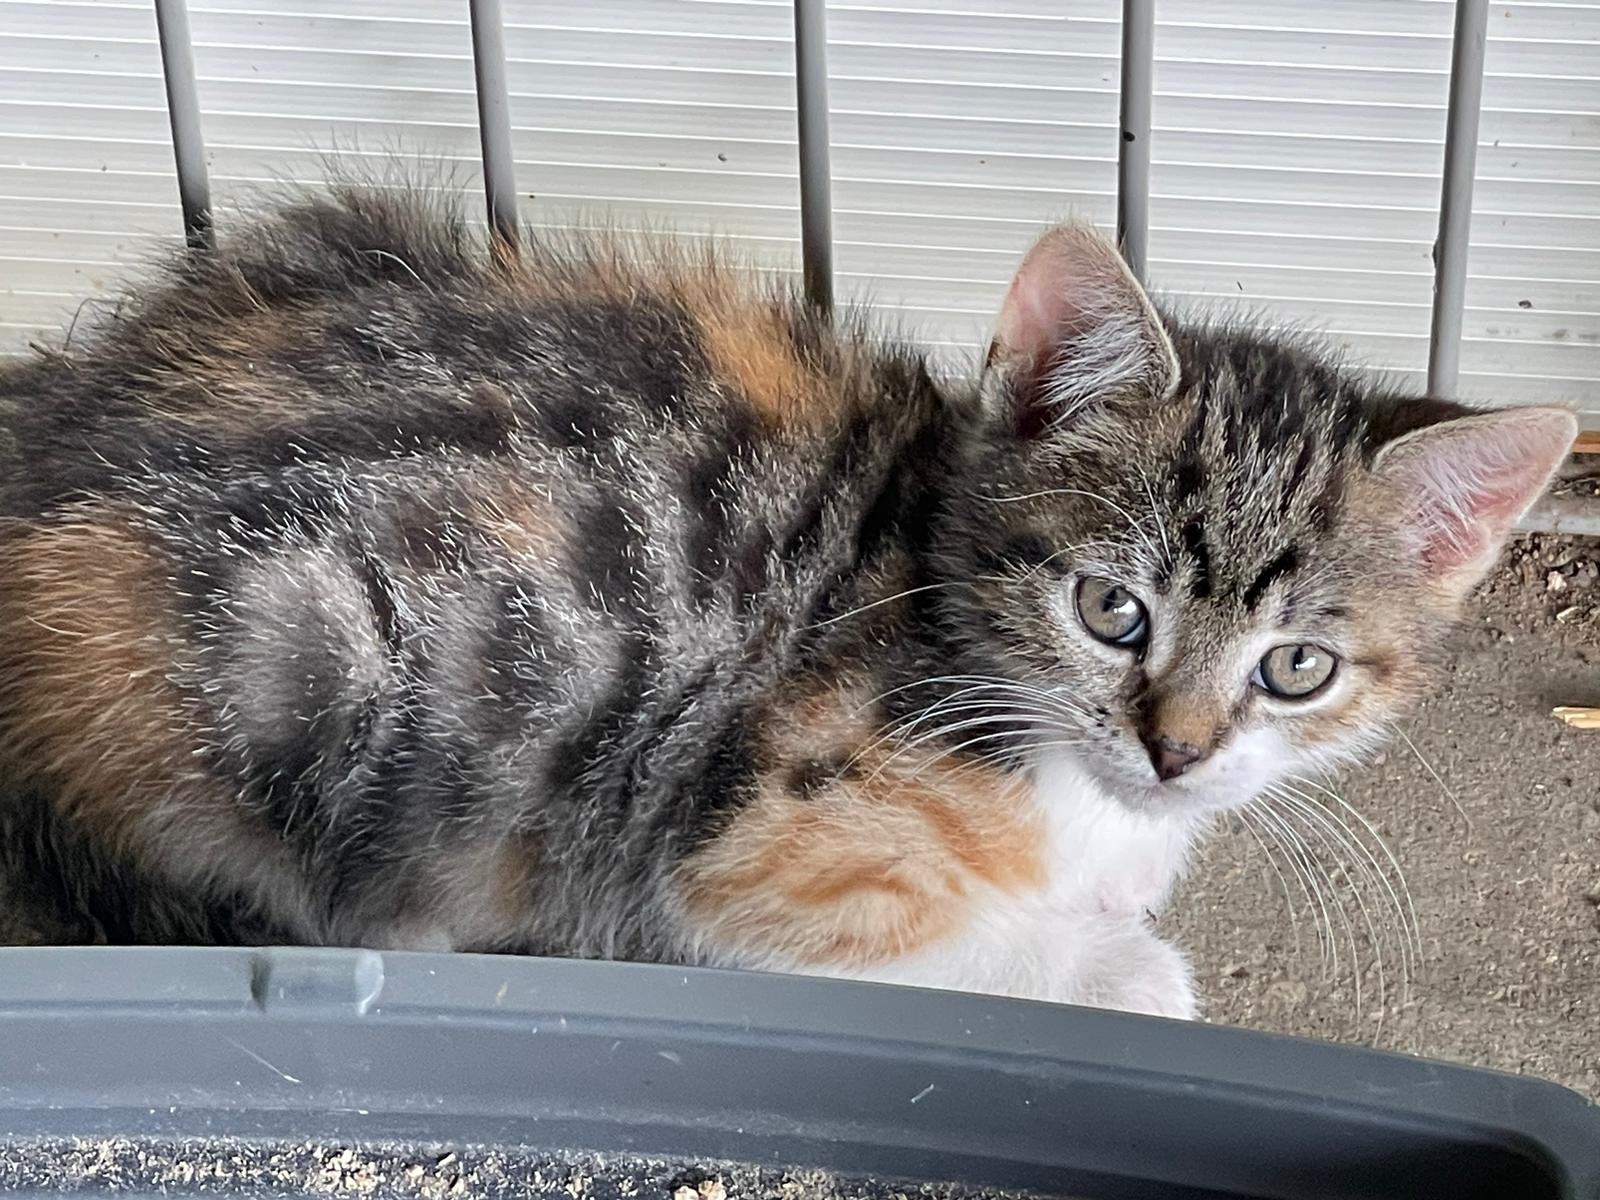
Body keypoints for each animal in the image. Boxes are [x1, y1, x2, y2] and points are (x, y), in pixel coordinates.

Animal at [0, 184, 1574, 1019]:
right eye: (1110, 610)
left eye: (1298, 668)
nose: (1176, 752)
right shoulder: (744, 857)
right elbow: (942, 945)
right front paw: (1118, 963)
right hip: (328, 680)